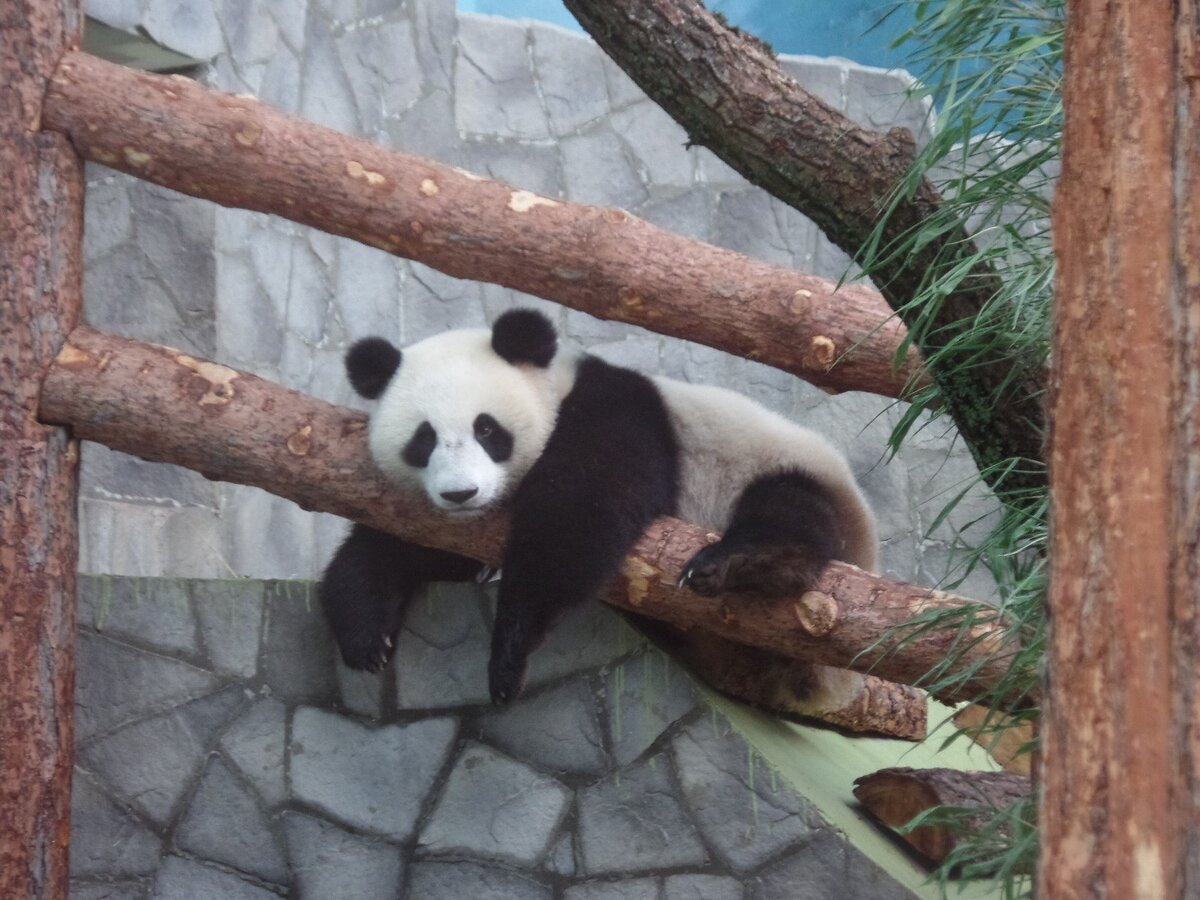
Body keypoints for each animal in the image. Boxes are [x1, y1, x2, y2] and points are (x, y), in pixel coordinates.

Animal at [324, 309, 878, 705]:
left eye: (487, 430)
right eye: (424, 439)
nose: (461, 494)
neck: (556, 384)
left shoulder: (616, 412)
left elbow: (581, 520)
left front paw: (509, 652)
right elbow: (414, 548)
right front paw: (364, 628)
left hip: (795, 475)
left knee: (793, 512)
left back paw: (744, 563)